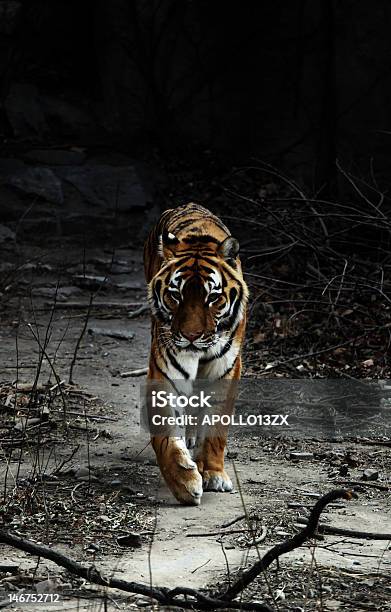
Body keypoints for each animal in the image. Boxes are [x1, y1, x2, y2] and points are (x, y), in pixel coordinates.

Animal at [144, 203, 248, 504]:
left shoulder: (225, 371)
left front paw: (213, 473)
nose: (191, 336)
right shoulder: (165, 371)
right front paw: (184, 481)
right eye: (175, 295)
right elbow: (165, 433)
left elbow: (216, 429)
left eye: (213, 298)